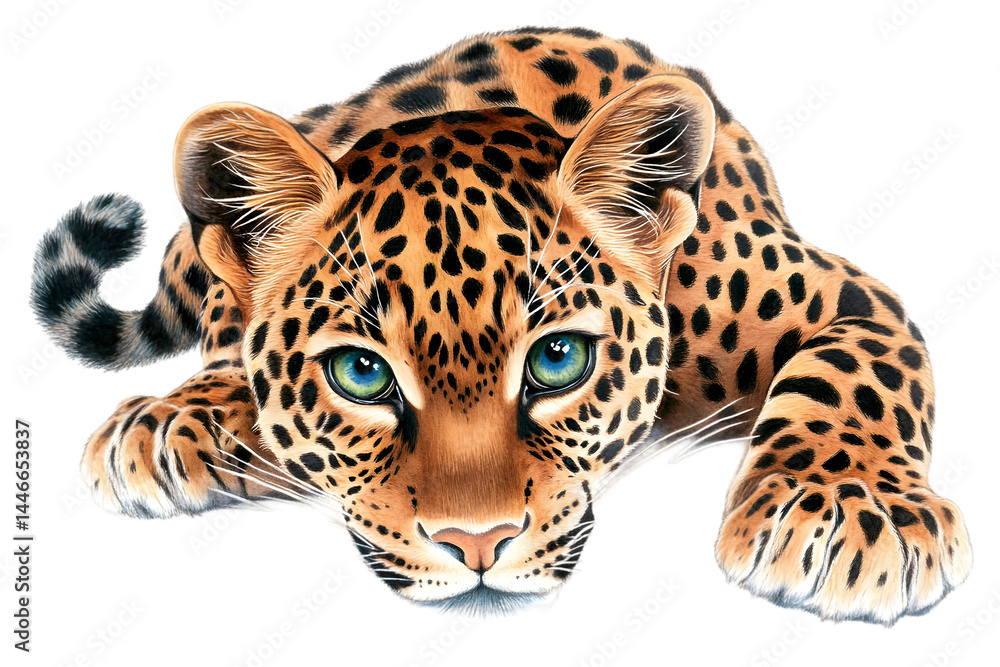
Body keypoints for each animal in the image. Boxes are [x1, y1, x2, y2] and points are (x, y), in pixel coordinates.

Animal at [30, 27, 971, 623]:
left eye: (558, 359)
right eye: (361, 374)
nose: (475, 545)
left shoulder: (844, 298)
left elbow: (848, 379)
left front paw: (845, 512)